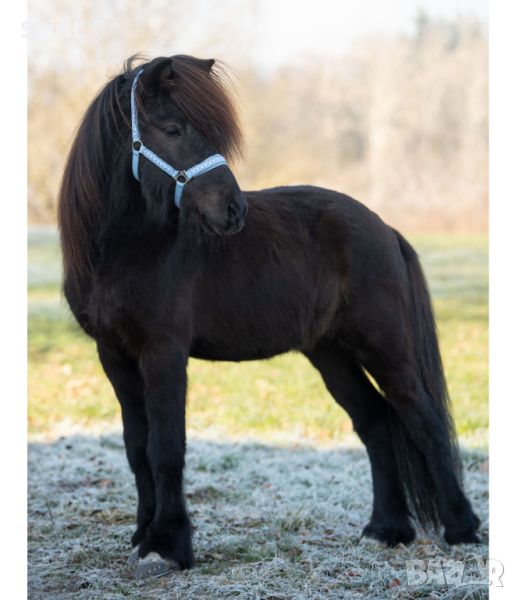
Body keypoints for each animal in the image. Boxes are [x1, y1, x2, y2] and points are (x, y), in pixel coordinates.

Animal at [58, 54, 480, 572]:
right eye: (173, 129)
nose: (233, 211)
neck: (129, 249)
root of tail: (384, 228)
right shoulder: (114, 356)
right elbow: (138, 449)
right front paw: (143, 536)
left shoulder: (164, 353)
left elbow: (166, 447)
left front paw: (168, 544)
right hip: (330, 354)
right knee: (377, 423)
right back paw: (385, 530)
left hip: (385, 347)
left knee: (424, 421)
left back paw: (461, 529)